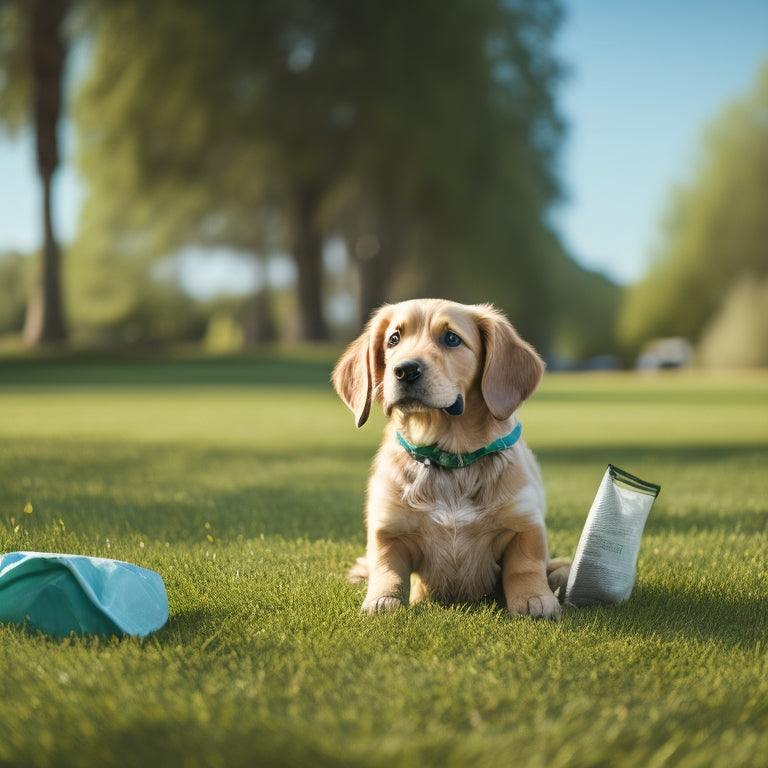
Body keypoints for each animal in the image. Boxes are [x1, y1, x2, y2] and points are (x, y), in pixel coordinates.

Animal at [332, 296, 568, 620]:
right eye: (394, 339)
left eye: (452, 338)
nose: (404, 370)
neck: (450, 459)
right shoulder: (389, 530)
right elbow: (386, 569)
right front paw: (382, 601)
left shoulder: (523, 523)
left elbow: (525, 567)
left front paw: (534, 599)